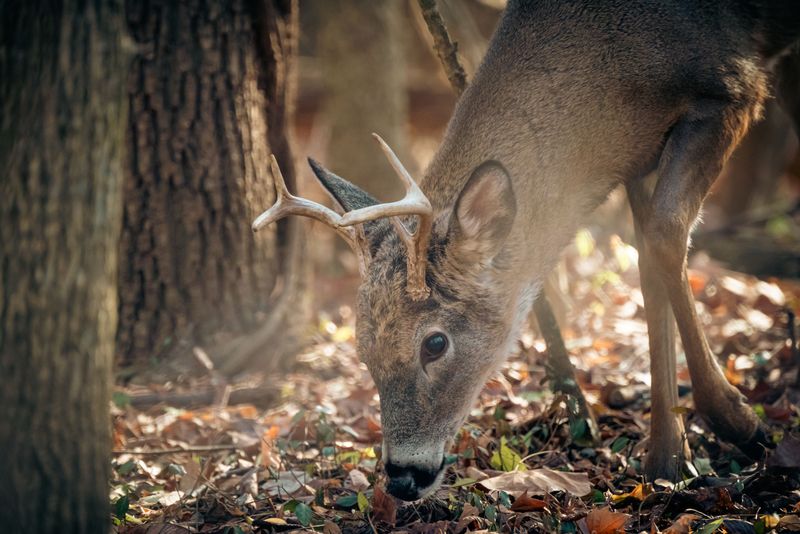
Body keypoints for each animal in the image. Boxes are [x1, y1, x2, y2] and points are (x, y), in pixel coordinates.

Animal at [254, 0, 800, 500]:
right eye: (363, 350)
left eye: (435, 343)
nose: (404, 478)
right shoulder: (640, 154)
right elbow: (647, 260)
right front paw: (667, 457)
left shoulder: (731, 89)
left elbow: (665, 233)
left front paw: (738, 422)